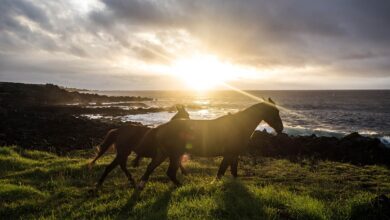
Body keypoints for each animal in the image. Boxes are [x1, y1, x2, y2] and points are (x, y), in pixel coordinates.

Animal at [137, 98, 284, 189]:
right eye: (274, 111)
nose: (281, 128)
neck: (239, 125)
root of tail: (161, 127)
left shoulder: (234, 154)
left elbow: (234, 172)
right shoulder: (229, 154)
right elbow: (221, 172)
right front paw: (213, 185)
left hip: (163, 153)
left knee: (150, 167)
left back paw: (141, 186)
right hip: (175, 154)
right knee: (170, 172)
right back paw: (181, 186)